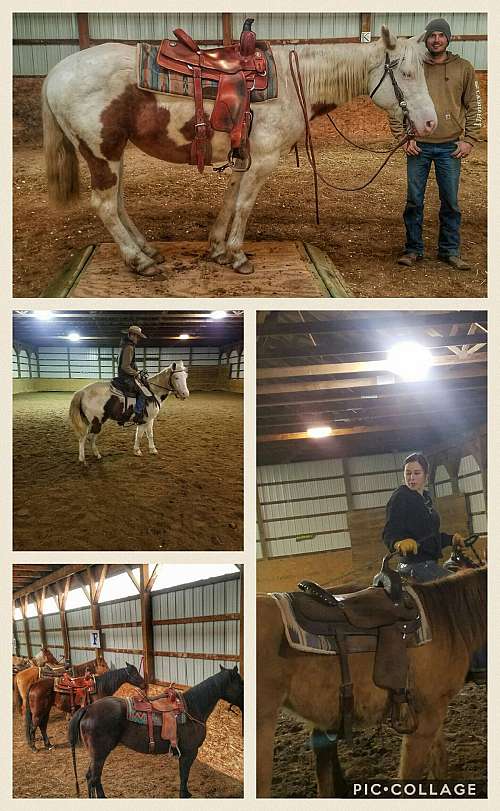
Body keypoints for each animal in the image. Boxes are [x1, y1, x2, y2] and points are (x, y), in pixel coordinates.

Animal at [42, 26, 436, 277]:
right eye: (406, 73)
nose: (431, 123)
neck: (293, 83)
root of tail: (56, 72)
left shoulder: (243, 157)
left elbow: (231, 200)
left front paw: (217, 249)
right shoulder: (263, 159)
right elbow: (245, 205)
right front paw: (236, 255)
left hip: (113, 154)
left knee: (118, 202)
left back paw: (146, 250)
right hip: (101, 152)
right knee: (105, 205)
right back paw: (139, 262)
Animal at [68, 665, 243, 798]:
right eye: (240, 683)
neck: (193, 708)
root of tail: (87, 709)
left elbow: (184, 774)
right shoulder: (189, 752)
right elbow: (184, 775)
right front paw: (184, 794)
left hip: (97, 755)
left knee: (92, 778)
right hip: (99, 754)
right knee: (94, 778)